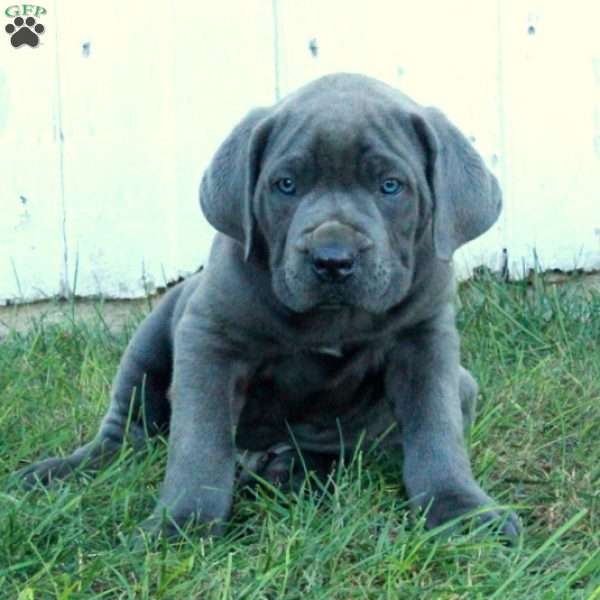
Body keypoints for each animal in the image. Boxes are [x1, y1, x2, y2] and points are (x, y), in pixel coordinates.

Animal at [16, 72, 516, 540]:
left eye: (390, 186)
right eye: (286, 185)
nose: (332, 259)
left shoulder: (425, 342)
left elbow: (437, 433)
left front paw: (464, 512)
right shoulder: (208, 340)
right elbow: (200, 442)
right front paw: (184, 524)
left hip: (461, 385)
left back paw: (293, 472)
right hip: (151, 338)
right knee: (127, 431)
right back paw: (58, 471)